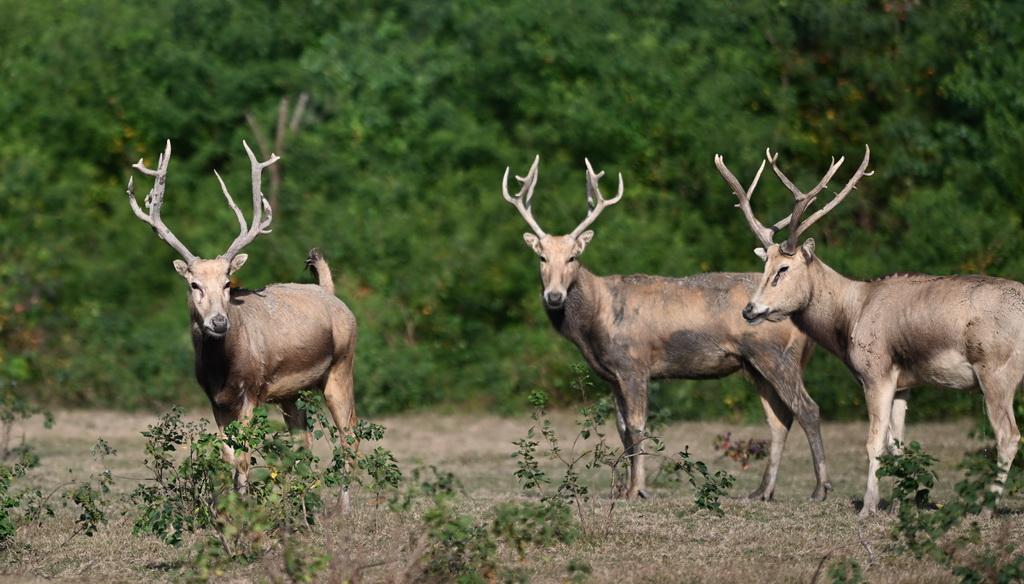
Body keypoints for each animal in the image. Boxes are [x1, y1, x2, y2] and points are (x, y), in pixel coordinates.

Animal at [128, 138, 360, 512]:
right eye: (194, 284)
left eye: (227, 282)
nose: (219, 322)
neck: (224, 368)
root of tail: (330, 293)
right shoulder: (214, 399)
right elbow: (226, 457)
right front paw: (230, 510)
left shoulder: (252, 390)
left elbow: (244, 457)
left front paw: (246, 513)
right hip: (291, 393)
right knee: (303, 442)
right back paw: (300, 504)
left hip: (342, 365)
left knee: (349, 434)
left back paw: (342, 509)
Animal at [501, 154, 831, 499]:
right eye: (541, 258)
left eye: (572, 258)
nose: (554, 296)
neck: (596, 321)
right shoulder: (611, 375)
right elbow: (621, 428)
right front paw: (625, 488)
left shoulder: (634, 363)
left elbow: (637, 425)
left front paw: (638, 489)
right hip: (755, 365)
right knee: (779, 419)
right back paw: (762, 491)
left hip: (776, 355)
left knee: (808, 409)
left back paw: (819, 489)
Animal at [716, 144, 1024, 514]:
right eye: (764, 267)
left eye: (783, 269)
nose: (749, 310)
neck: (852, 314)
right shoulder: (905, 383)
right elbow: (898, 444)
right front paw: (902, 503)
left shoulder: (875, 372)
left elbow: (874, 443)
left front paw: (868, 506)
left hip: (996, 370)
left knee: (1008, 435)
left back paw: (987, 507)